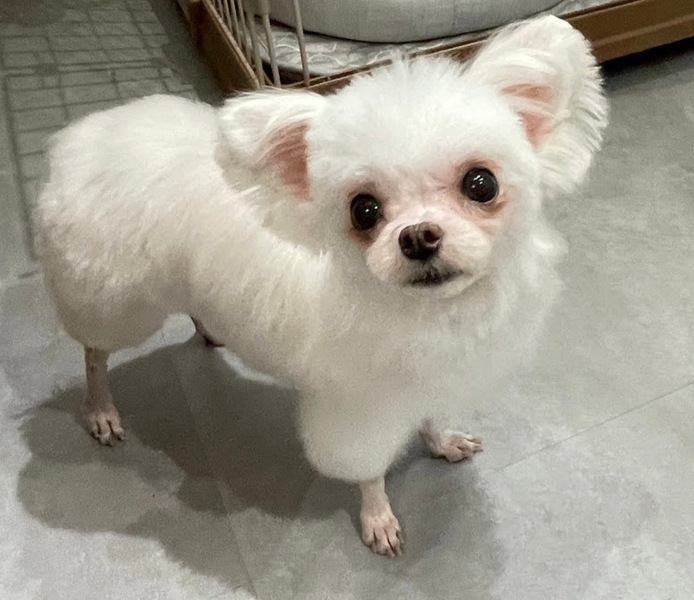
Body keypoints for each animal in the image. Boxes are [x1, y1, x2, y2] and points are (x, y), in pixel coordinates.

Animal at [34, 16, 607, 556]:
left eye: (481, 184)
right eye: (364, 210)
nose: (418, 236)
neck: (429, 313)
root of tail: (82, 136)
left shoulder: (426, 377)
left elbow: (429, 416)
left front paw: (441, 440)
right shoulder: (358, 408)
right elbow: (369, 470)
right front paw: (378, 518)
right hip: (114, 300)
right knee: (94, 352)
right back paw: (101, 411)